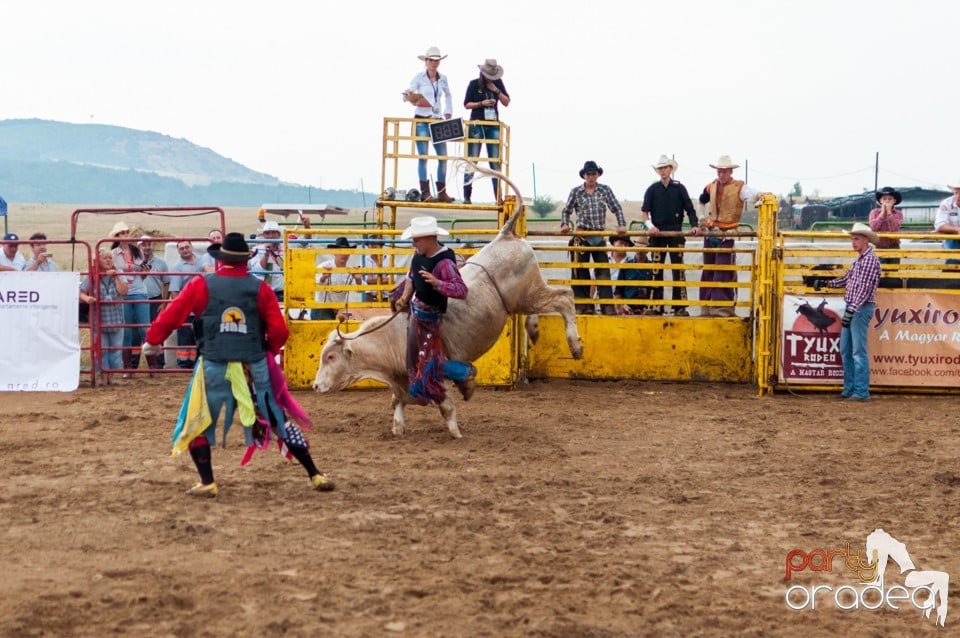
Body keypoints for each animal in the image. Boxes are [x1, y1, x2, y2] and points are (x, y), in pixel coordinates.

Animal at [316, 161, 584, 440]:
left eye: (331, 357)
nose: (315, 385)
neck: (392, 340)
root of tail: (506, 234)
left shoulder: (435, 373)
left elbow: (445, 404)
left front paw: (456, 431)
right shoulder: (402, 381)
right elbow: (398, 402)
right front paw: (398, 427)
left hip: (529, 294)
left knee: (564, 298)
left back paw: (575, 346)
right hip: (524, 298)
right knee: (538, 310)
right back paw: (534, 330)